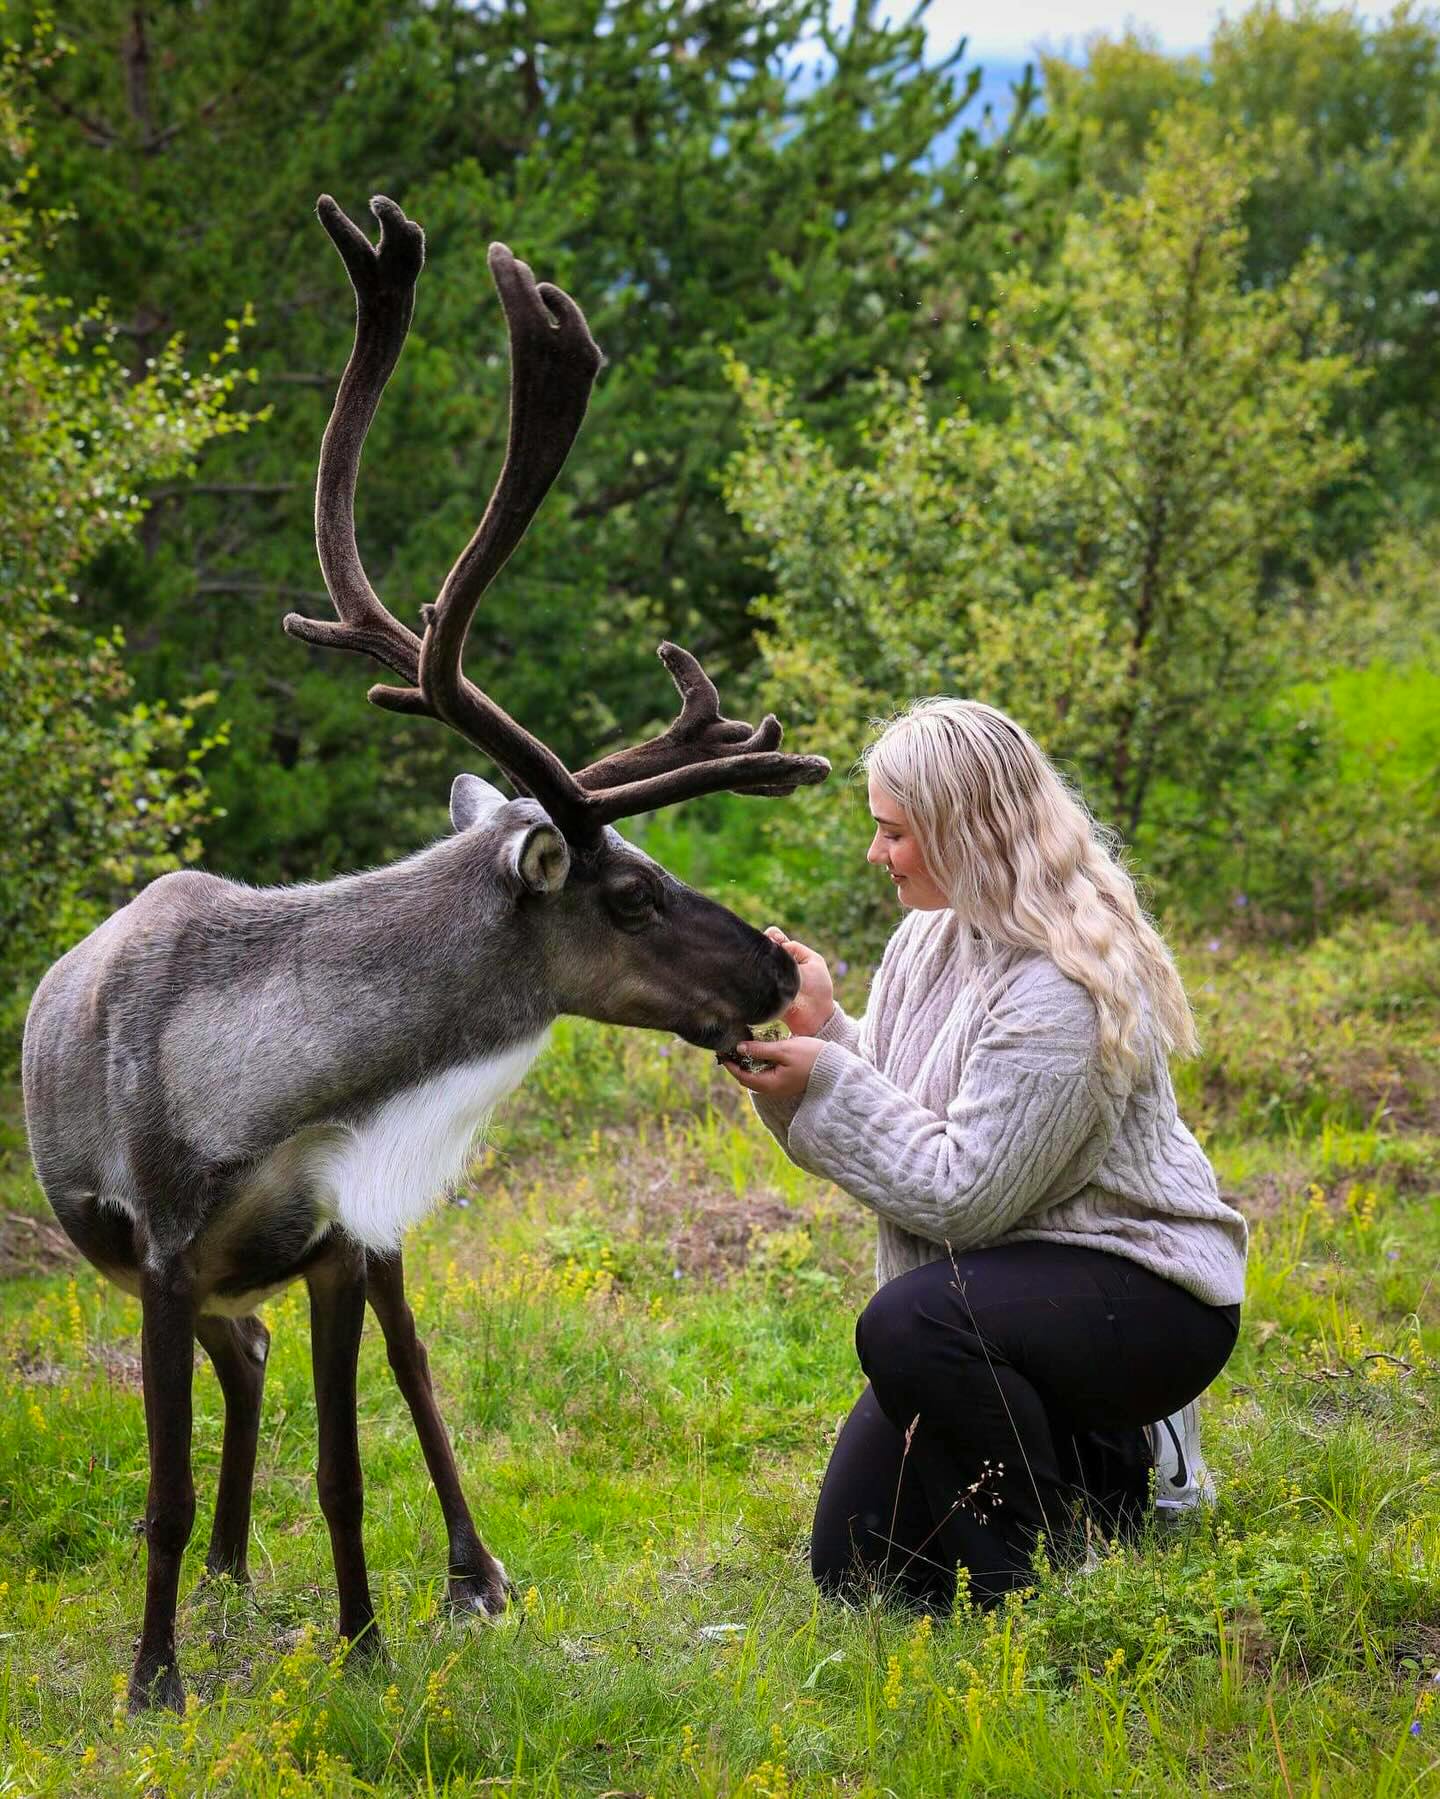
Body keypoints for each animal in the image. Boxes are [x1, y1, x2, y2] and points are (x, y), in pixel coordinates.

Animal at [21, 193, 829, 1713]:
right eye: (628, 891)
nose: (774, 966)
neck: (264, 1091)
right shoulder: (161, 1251)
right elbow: (159, 1489)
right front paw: (154, 1676)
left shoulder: (340, 1238)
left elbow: (350, 1460)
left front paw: (365, 1640)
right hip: (185, 1272)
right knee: (244, 1357)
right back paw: (223, 1578)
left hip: (350, 1253)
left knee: (399, 1362)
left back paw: (467, 1570)